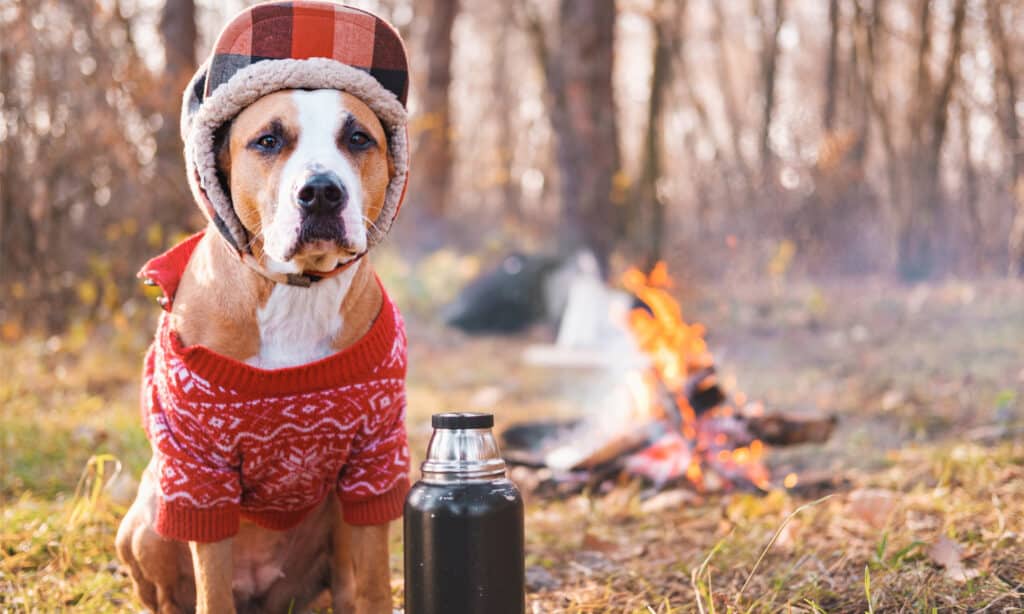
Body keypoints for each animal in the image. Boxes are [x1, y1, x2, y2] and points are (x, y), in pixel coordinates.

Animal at [114, 2, 409, 609]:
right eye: (268, 141)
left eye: (358, 138)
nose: (320, 192)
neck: (297, 293)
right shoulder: (200, 474)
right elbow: (211, 587)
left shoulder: (373, 461)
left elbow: (372, 582)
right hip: (149, 516)